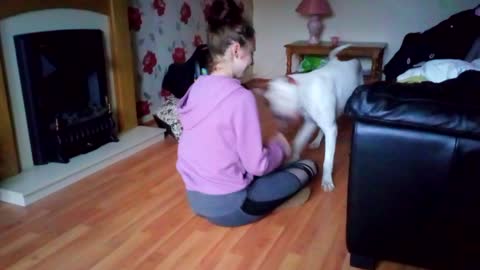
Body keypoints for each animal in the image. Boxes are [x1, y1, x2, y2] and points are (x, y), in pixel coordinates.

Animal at [264, 44, 362, 191]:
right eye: (270, 101)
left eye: (282, 98)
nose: (277, 116)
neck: (303, 90)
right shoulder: (310, 123)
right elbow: (298, 141)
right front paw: (292, 158)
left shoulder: (330, 128)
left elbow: (328, 160)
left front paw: (327, 180)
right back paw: (316, 141)